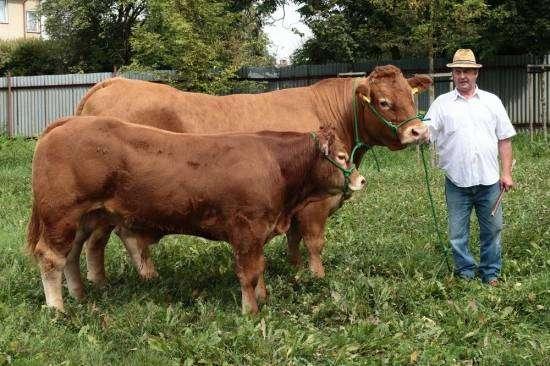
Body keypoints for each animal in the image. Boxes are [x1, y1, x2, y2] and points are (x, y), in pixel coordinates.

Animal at [29, 116, 366, 312]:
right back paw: (57, 309)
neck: (274, 165)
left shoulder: (259, 233)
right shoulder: (246, 230)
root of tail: (67, 123)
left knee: (71, 254)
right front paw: (250, 311)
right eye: (340, 156)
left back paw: (79, 295)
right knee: (50, 257)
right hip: (61, 214)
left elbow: (259, 268)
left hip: (84, 217)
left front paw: (262, 297)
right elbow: (249, 272)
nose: (361, 180)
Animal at [77, 64, 434, 280]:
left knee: (99, 239)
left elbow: (294, 239)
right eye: (384, 102)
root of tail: (114, 82)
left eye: (411, 96)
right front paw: (317, 278)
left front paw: (295, 271)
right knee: (115, 238)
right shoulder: (315, 205)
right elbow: (314, 241)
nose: (418, 132)